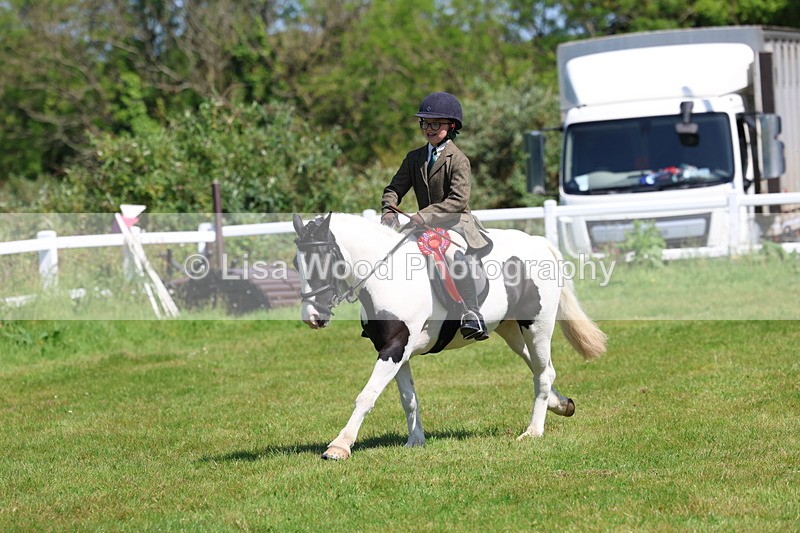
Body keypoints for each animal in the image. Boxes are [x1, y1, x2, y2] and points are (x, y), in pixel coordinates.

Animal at [292, 212, 606, 460]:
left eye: (323, 260)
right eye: (296, 264)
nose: (312, 317)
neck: (388, 277)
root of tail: (539, 243)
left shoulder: (394, 347)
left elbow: (366, 395)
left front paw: (339, 446)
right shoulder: (396, 350)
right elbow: (408, 397)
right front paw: (415, 440)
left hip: (537, 324)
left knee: (541, 373)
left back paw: (533, 431)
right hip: (509, 329)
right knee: (543, 369)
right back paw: (561, 404)